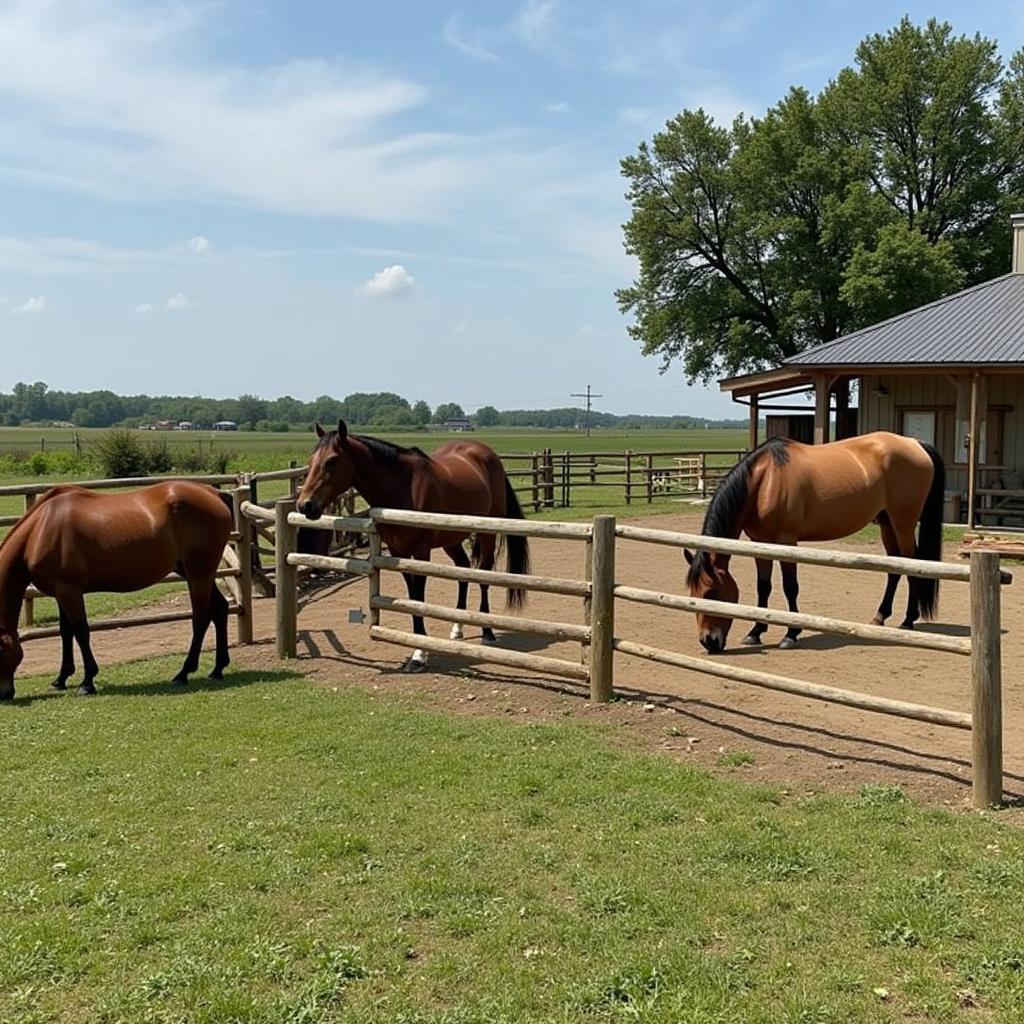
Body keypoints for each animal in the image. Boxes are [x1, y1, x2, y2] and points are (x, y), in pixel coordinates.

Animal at [0, 479, 233, 696]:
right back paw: (217, 670)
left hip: (199, 572)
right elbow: (66, 631)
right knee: (220, 609)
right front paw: (61, 679)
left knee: (201, 619)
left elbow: (81, 632)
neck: (39, 531)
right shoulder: (61, 593)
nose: (5, 694)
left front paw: (87, 682)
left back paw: (183, 673)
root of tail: (213, 493)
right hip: (193, 573)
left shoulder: (70, 591)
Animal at [296, 417, 532, 671]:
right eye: (310, 461)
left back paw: (487, 631)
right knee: (463, 570)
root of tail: (487, 454)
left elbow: (418, 597)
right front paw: (418, 647)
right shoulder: (399, 552)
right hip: (452, 539)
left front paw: (419, 654)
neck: (402, 486)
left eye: (331, 460)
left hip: (487, 533)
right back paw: (457, 628)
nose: (305, 505)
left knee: (484, 576)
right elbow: (411, 597)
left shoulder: (420, 552)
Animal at [684, 432, 946, 655]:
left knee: (912, 566)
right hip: (886, 523)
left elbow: (790, 587)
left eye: (710, 593)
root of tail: (915, 443)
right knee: (894, 569)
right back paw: (880, 616)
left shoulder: (787, 541)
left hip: (903, 523)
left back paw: (908, 620)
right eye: (693, 593)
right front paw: (756, 631)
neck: (764, 482)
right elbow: (763, 586)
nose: (708, 642)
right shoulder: (760, 543)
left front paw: (791, 634)